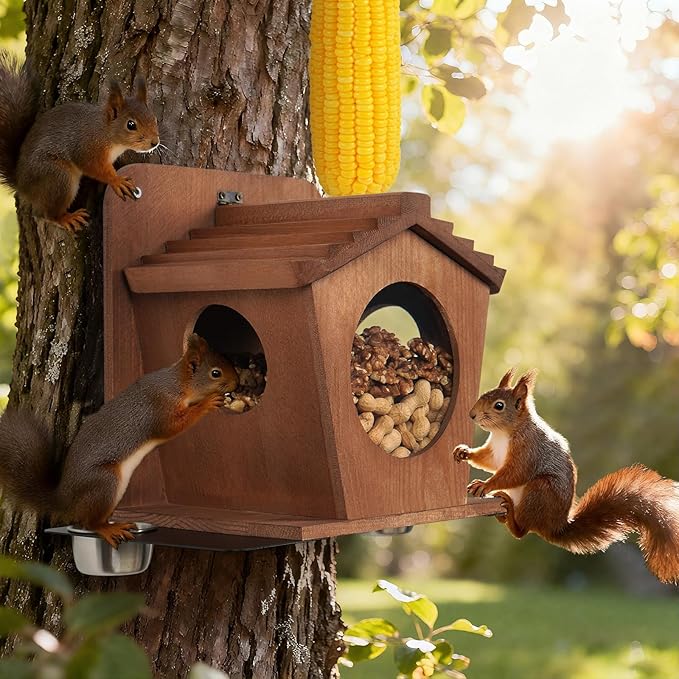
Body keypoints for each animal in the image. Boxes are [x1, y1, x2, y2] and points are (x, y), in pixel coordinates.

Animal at [0, 52, 159, 233]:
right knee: (47, 215)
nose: (155, 142)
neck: (106, 132)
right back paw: (67, 218)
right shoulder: (87, 148)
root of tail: (21, 183)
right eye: (131, 125)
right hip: (57, 177)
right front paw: (117, 181)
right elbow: (94, 168)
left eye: (155, 119)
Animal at [0, 334, 237, 548]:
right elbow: (172, 426)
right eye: (215, 373)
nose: (237, 382)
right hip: (105, 482)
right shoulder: (161, 407)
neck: (179, 384)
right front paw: (207, 403)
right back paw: (108, 529)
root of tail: (65, 497)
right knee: (89, 523)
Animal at [453, 368, 679, 584]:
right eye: (484, 394)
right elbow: (487, 460)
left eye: (499, 405)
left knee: (522, 531)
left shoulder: (528, 452)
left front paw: (485, 484)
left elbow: (514, 473)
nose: (472, 414)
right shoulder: (494, 451)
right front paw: (464, 452)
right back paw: (502, 512)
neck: (504, 432)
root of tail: (554, 527)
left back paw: (508, 509)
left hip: (541, 490)